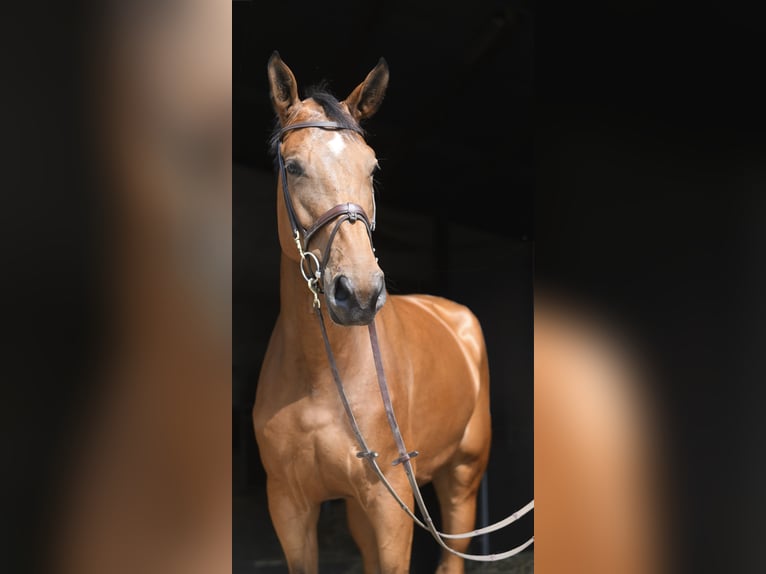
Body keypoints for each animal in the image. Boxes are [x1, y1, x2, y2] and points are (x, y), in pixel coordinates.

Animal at [253, 52, 492, 574]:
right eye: (292, 166)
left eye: (372, 168)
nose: (359, 292)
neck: (324, 375)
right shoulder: (289, 507)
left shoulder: (391, 505)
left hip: (461, 480)